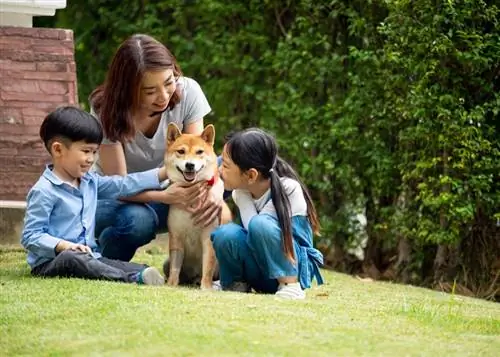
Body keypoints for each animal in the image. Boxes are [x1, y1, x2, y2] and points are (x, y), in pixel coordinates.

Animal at [162, 122, 229, 290]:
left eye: (199, 152)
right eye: (181, 151)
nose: (190, 165)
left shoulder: (208, 237)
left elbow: (208, 266)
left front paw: (206, 288)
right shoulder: (176, 236)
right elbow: (175, 267)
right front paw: (171, 284)